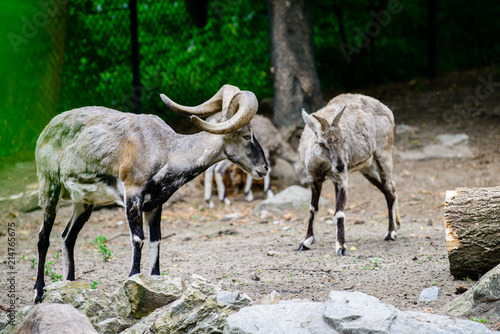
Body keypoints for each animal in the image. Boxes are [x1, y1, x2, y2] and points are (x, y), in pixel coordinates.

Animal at [298, 94, 400, 256]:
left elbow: (339, 213)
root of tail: (386, 109)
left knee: (390, 191)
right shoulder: (314, 179)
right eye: (321, 143)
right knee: (390, 188)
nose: (340, 166)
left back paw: (391, 233)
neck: (322, 166)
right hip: (367, 168)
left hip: (383, 155)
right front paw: (306, 242)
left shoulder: (341, 179)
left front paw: (341, 247)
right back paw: (396, 226)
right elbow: (313, 209)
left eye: (343, 139)